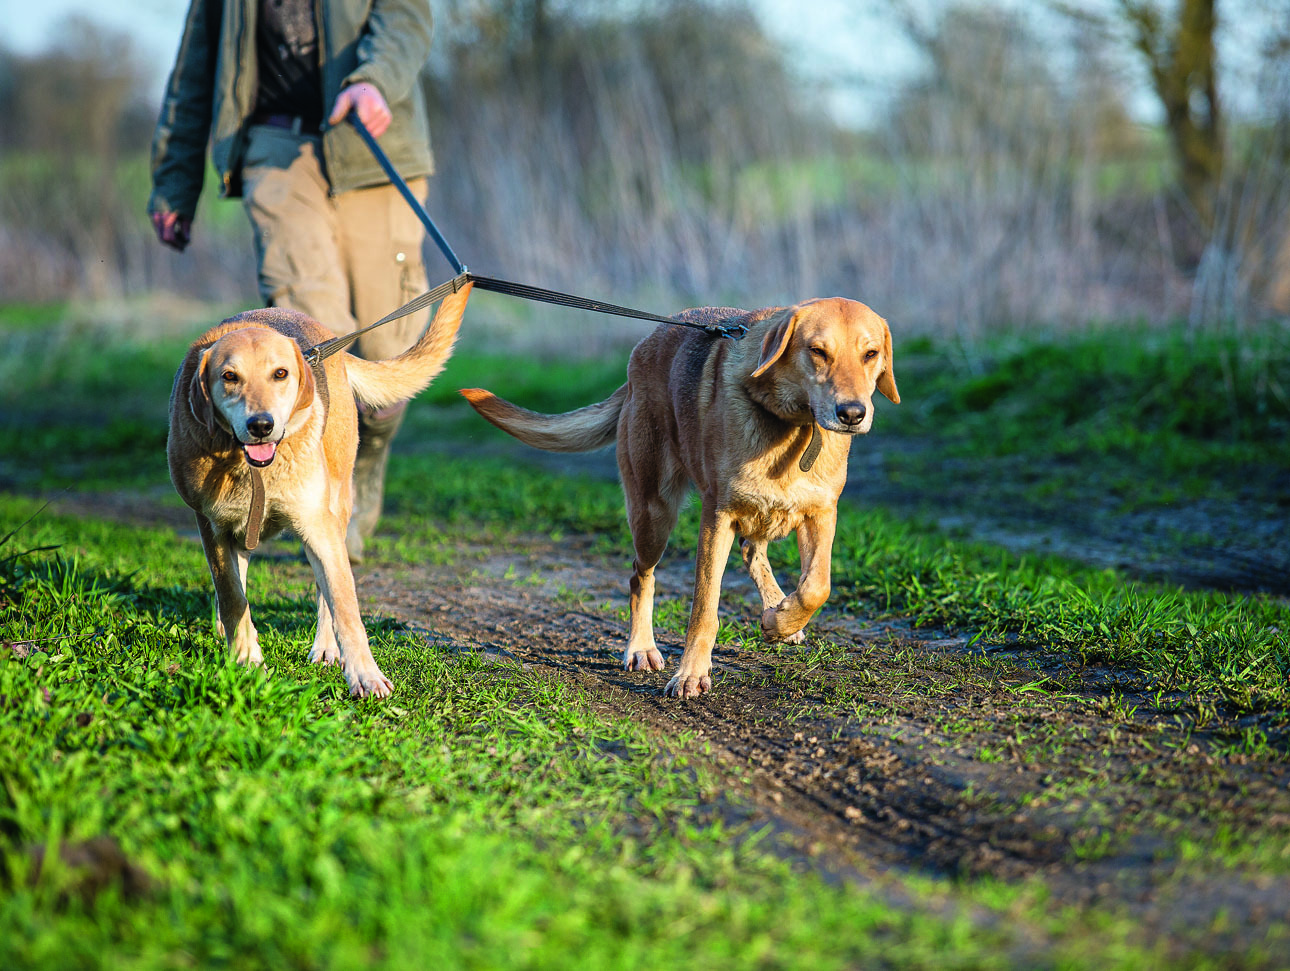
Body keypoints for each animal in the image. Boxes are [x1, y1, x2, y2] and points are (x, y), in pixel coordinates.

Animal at [167, 282, 474, 696]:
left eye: (280, 374)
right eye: (229, 376)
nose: (261, 425)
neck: (250, 467)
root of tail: (328, 342)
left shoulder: (318, 527)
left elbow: (344, 606)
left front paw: (364, 674)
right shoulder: (212, 526)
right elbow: (232, 595)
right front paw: (246, 660)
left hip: (333, 513)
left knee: (325, 591)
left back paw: (327, 649)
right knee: (239, 578)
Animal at [464, 295, 897, 696]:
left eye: (870, 354)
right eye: (818, 351)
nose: (852, 414)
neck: (791, 422)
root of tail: (640, 354)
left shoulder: (821, 514)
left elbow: (816, 587)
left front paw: (780, 620)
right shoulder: (717, 517)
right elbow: (704, 608)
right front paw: (691, 674)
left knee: (752, 552)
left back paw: (778, 607)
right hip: (652, 515)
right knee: (641, 576)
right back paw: (641, 648)